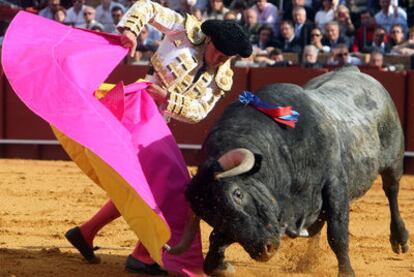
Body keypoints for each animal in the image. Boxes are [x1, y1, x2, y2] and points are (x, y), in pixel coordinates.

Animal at [186, 66, 410, 274]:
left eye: (238, 194)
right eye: (210, 216)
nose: (265, 249)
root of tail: (354, 71)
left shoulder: (335, 184)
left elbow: (337, 233)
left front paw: (346, 272)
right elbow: (218, 236)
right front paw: (219, 265)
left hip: (393, 160)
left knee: (391, 192)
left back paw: (400, 239)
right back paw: (308, 262)